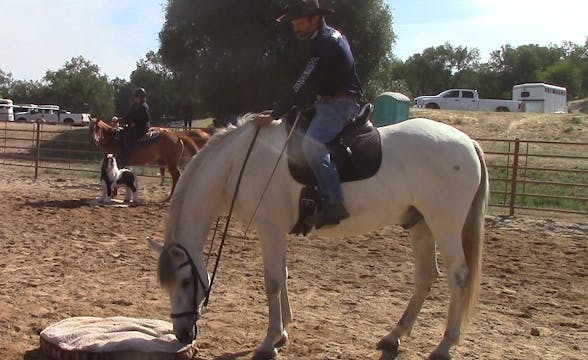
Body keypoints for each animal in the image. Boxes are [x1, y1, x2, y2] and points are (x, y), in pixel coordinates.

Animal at [149, 116, 490, 360]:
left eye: (185, 282)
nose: (182, 333)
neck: (238, 165)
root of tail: (468, 142)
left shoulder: (270, 228)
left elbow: (273, 281)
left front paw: (269, 341)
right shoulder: (276, 231)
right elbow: (284, 275)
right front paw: (283, 333)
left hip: (444, 224)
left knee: (458, 277)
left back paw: (444, 346)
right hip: (420, 224)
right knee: (425, 276)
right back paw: (394, 337)